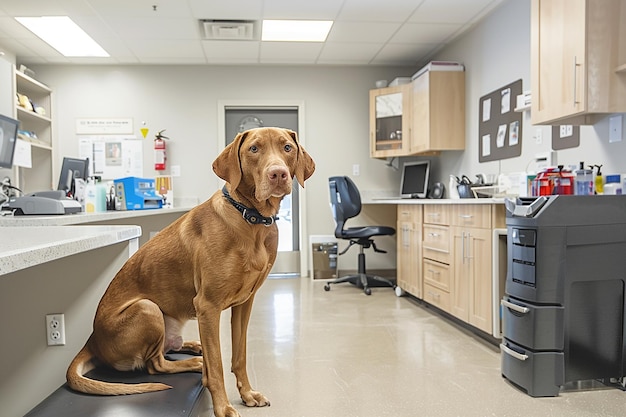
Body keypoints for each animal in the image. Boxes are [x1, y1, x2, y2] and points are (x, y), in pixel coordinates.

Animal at [66, 127, 314, 416]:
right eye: (254, 149)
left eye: (287, 148)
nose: (278, 174)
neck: (249, 218)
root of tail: (92, 339)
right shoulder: (208, 306)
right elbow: (216, 366)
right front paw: (223, 407)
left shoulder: (245, 304)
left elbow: (238, 356)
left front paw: (247, 393)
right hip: (147, 308)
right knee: (156, 365)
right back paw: (195, 363)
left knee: (170, 349)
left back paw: (194, 347)